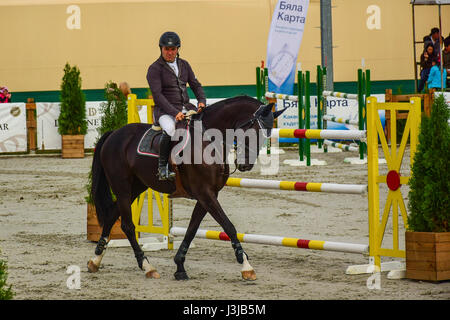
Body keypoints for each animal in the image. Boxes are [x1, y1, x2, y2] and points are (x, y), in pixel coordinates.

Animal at [87, 95, 284, 280]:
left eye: (266, 135)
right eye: (253, 131)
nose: (246, 165)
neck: (209, 141)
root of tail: (114, 133)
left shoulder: (209, 194)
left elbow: (192, 229)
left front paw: (180, 266)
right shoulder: (204, 193)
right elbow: (228, 226)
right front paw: (246, 266)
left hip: (136, 187)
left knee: (112, 215)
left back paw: (96, 260)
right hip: (122, 188)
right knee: (127, 226)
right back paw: (147, 266)